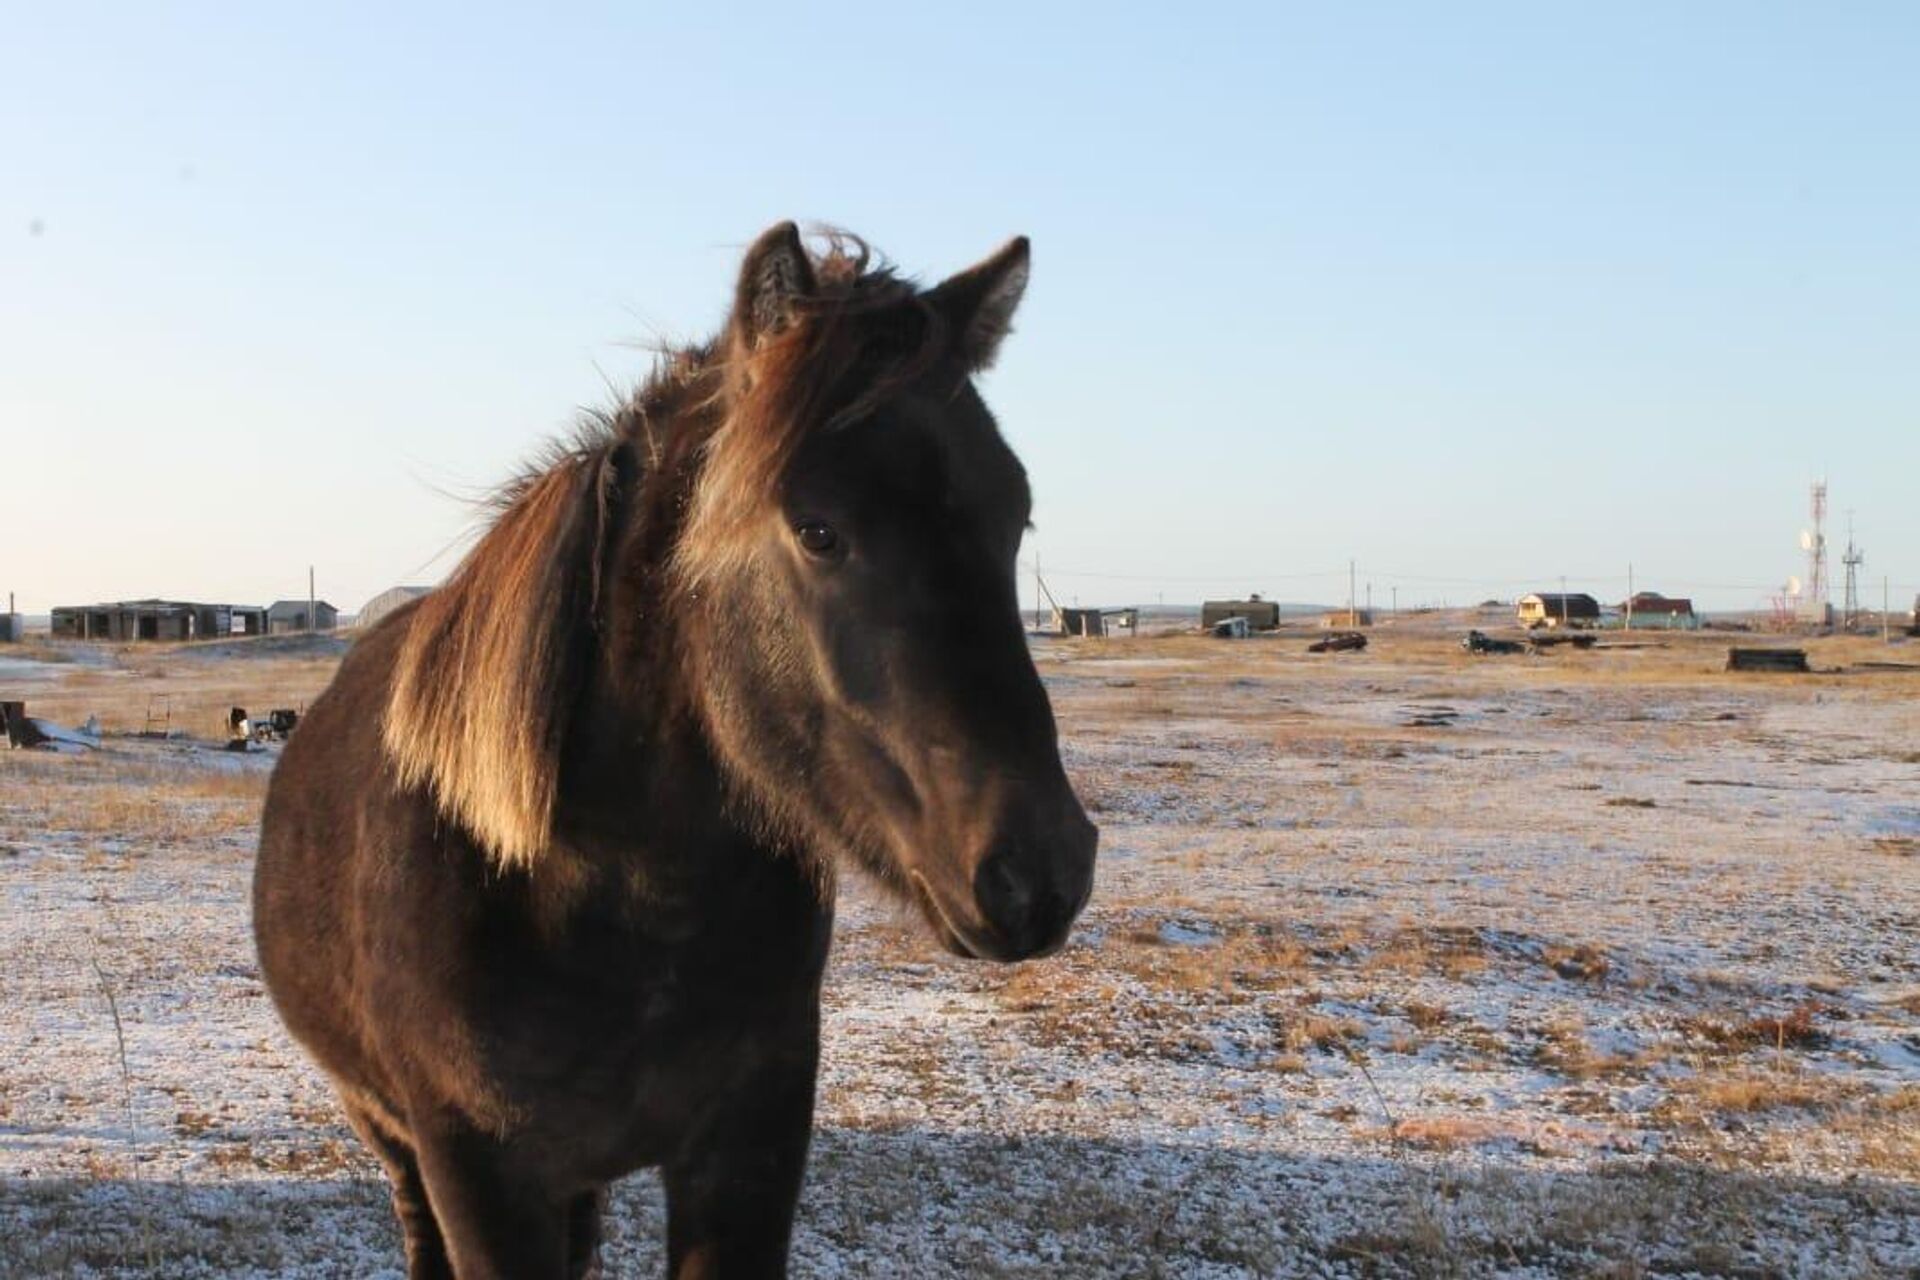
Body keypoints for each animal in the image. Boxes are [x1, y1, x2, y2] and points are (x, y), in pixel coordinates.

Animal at [253, 230, 1098, 1280]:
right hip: (388, 1131)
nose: (1039, 871)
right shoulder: (475, 1172)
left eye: (1013, 515)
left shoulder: (749, 1149)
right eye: (817, 529)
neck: (604, 896)